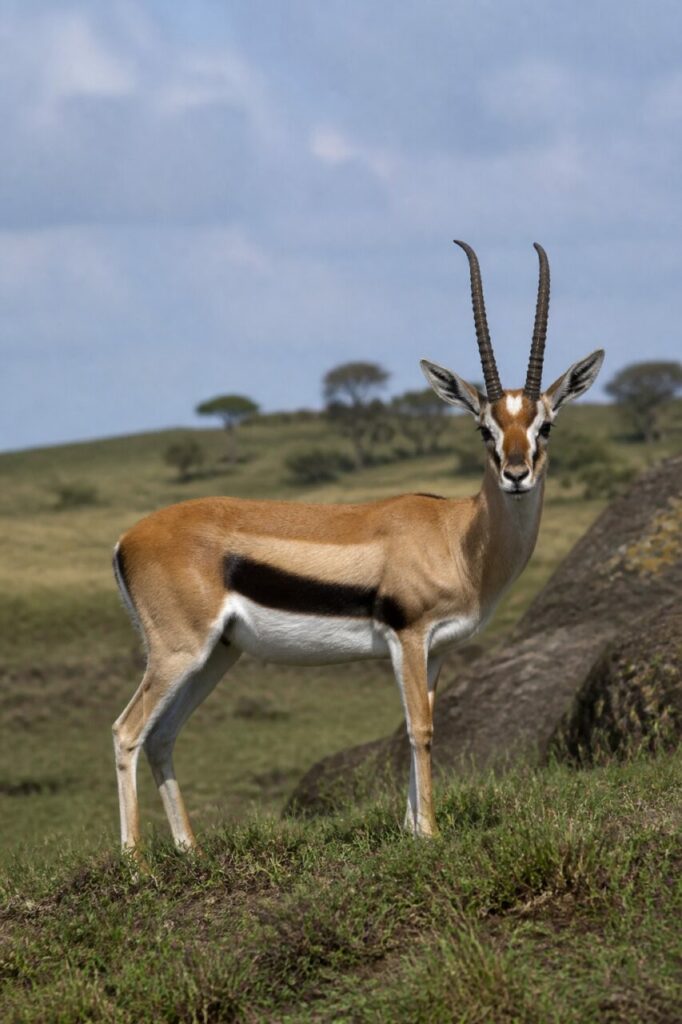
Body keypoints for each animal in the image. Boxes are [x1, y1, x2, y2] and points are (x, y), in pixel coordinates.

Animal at [112, 241, 604, 853]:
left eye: (546, 425)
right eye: (484, 429)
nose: (516, 475)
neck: (458, 535)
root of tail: (127, 539)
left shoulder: (437, 650)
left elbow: (420, 726)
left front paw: (412, 829)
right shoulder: (408, 636)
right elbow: (419, 729)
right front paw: (430, 833)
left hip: (214, 655)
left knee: (162, 736)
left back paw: (189, 850)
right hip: (178, 653)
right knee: (127, 731)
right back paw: (136, 861)